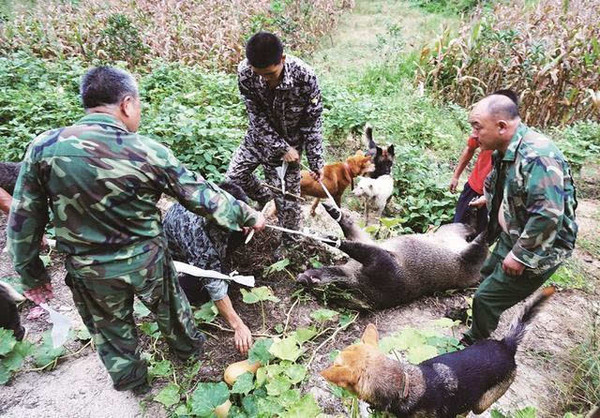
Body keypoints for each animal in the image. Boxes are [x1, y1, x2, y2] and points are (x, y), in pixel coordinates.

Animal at [296, 203, 488, 310]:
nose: (301, 278)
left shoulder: (382, 261)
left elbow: (351, 242)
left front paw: (327, 235)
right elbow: (351, 231)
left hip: (463, 244)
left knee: (478, 235)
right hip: (454, 233)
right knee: (473, 231)